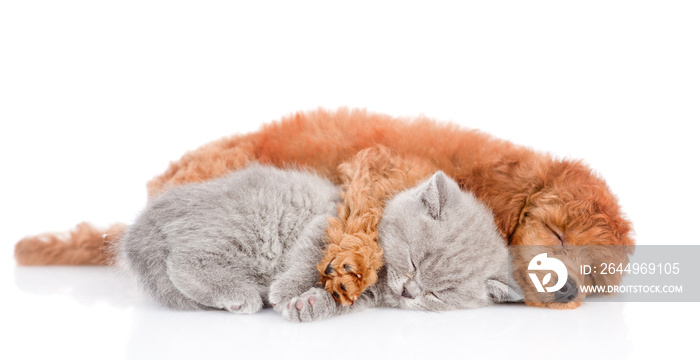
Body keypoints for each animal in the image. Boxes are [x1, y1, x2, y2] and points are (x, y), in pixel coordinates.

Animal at [117, 165, 516, 322]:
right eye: (415, 259)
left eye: (439, 294)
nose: (409, 292)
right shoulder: (327, 221)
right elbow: (310, 256)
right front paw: (285, 291)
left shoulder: (366, 294)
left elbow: (341, 299)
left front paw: (307, 304)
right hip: (252, 228)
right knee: (184, 260)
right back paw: (240, 295)